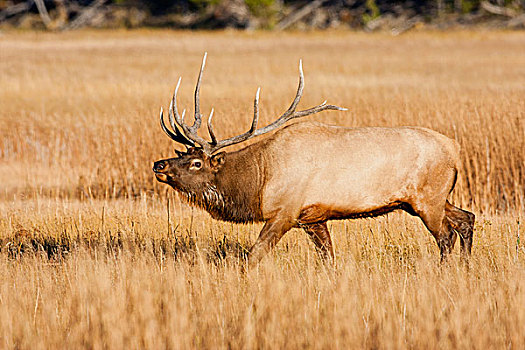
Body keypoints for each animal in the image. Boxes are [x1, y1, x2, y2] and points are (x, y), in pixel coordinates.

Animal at [152, 54, 474, 266]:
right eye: (183, 154)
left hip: (427, 198)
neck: (258, 180)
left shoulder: (284, 211)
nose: (159, 165)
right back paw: (466, 266)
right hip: (425, 200)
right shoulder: (313, 218)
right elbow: (328, 258)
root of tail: (455, 149)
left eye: (197, 163)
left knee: (446, 235)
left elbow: (253, 256)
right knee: (466, 219)